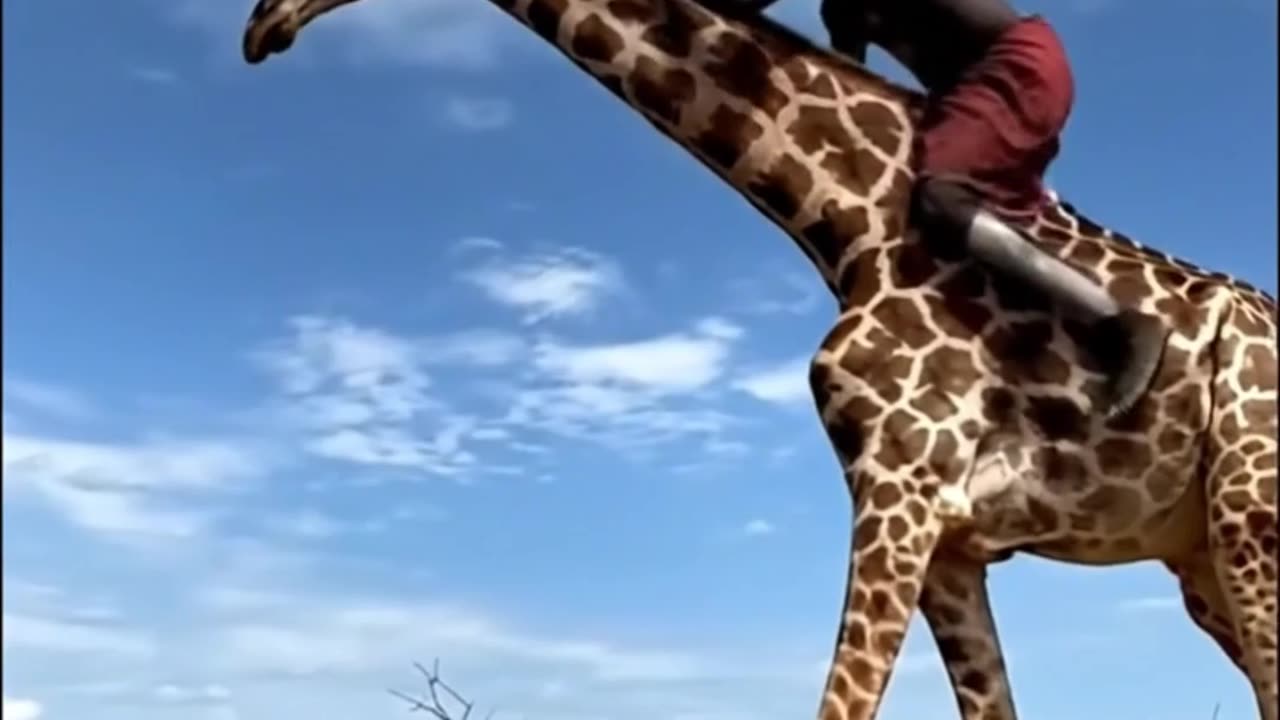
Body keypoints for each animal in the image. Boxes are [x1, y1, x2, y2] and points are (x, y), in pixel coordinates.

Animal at [240, 1, 1279, 718]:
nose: (258, 28)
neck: (845, 220)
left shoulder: (899, 495)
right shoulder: (950, 541)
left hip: (1249, 521)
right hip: (1200, 561)